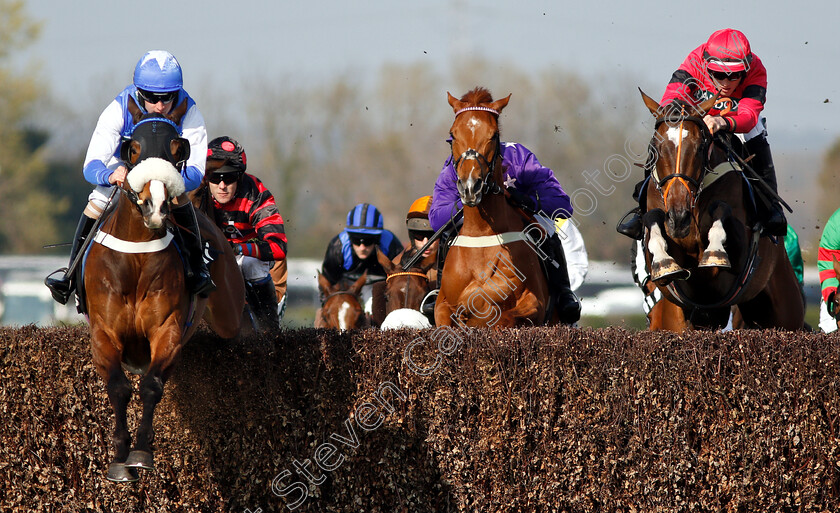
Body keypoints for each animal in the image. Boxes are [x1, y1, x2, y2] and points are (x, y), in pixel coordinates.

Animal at [85, 110, 243, 482]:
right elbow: (119, 387)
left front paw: (141, 452)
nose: (156, 206)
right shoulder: (103, 333)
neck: (136, 258)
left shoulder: (167, 329)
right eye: (133, 149)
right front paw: (119, 458)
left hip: (229, 313)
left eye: (175, 149)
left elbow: (152, 385)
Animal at [434, 87, 552, 328]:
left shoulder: (536, 303)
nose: (470, 186)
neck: (482, 232)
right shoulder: (442, 305)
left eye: (493, 135)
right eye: (453, 134)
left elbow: (502, 315)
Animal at [640, 90, 804, 330]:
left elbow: (721, 210)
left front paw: (715, 252)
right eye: (656, 148)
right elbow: (653, 220)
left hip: (786, 311)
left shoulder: (737, 261)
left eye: (699, 148)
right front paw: (663, 261)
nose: (679, 218)